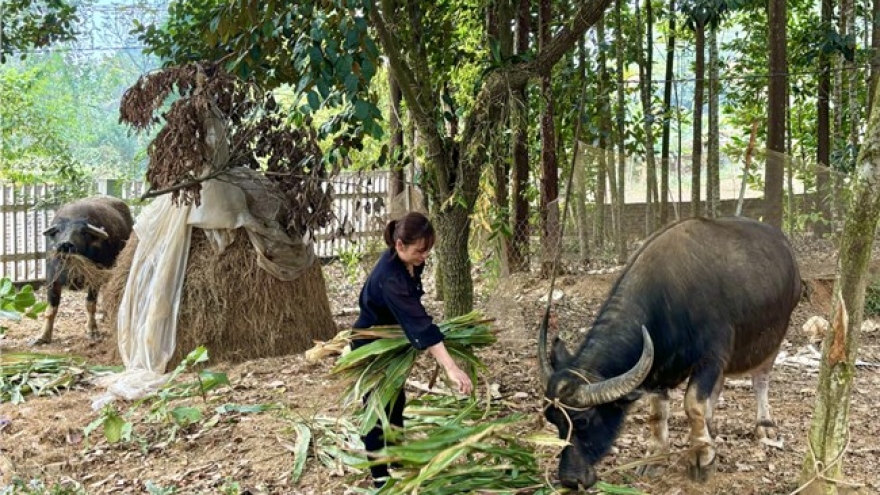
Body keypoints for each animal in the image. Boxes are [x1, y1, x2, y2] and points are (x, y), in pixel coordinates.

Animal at [32, 197, 134, 344]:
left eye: (82, 232)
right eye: (59, 230)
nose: (65, 245)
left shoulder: (94, 280)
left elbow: (90, 304)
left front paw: (92, 330)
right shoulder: (52, 280)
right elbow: (51, 309)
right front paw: (43, 336)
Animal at [540, 216, 800, 488]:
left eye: (583, 420)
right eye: (551, 419)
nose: (570, 479)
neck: (669, 302)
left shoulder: (709, 359)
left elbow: (693, 405)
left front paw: (702, 457)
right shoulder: (657, 369)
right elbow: (657, 415)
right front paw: (656, 456)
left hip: (774, 338)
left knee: (761, 380)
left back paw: (764, 425)